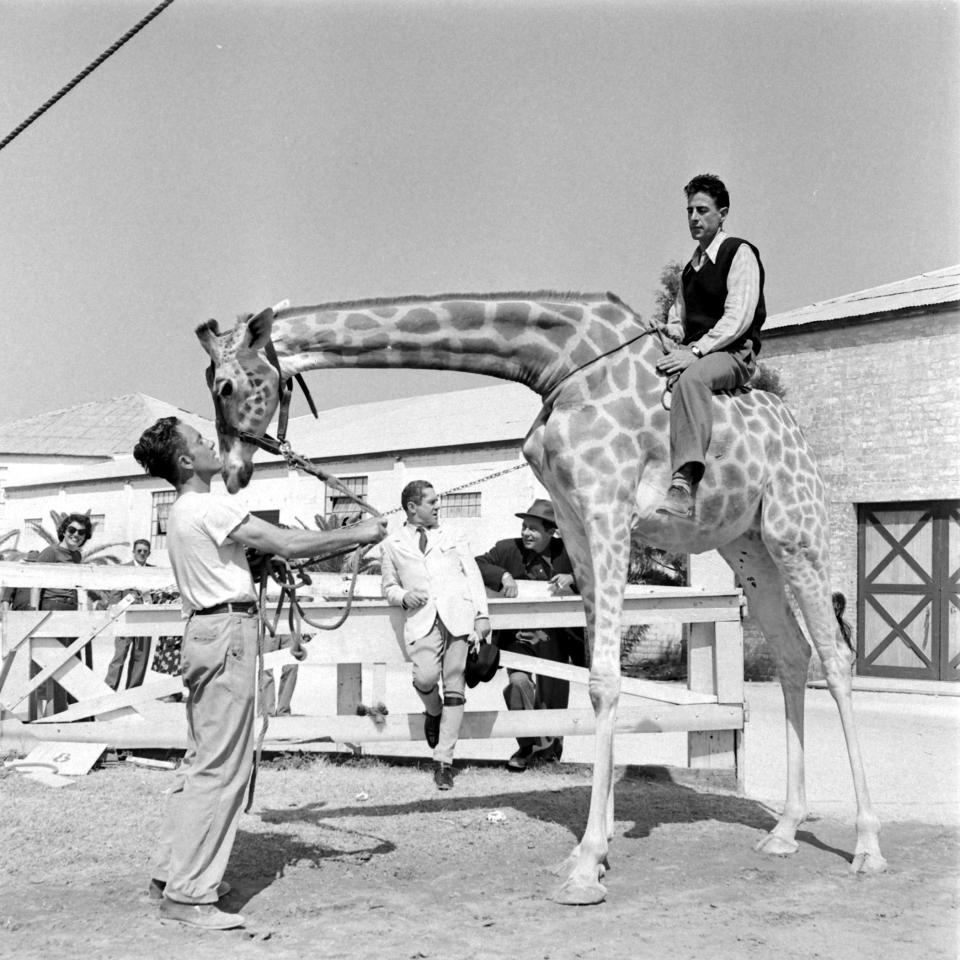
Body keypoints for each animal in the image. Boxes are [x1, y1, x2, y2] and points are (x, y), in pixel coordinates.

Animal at [197, 290, 892, 900]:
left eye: (227, 385)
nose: (232, 472)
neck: (558, 365)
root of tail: (798, 437)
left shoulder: (609, 512)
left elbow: (605, 679)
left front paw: (586, 868)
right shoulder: (578, 525)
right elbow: (595, 679)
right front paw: (593, 852)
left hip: (796, 530)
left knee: (835, 659)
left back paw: (867, 848)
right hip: (747, 547)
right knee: (793, 655)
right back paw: (783, 831)